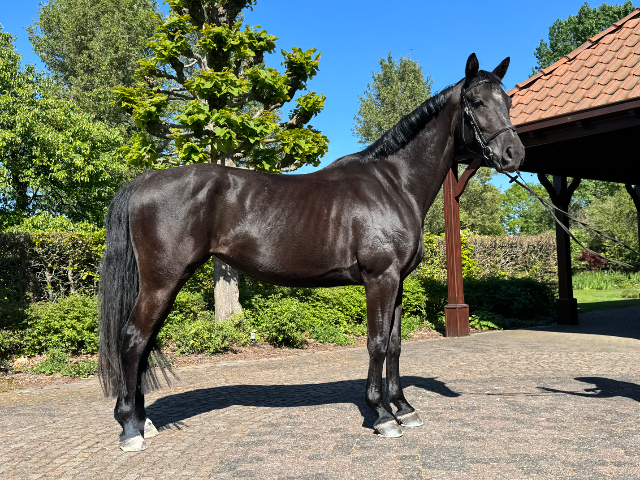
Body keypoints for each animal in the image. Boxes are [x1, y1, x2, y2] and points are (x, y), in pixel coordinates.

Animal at [98, 53, 525, 451]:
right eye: (476, 101)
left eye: (507, 100)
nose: (513, 154)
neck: (393, 184)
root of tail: (143, 182)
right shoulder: (380, 279)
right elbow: (376, 343)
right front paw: (382, 415)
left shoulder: (398, 283)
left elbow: (395, 345)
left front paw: (404, 408)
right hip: (162, 282)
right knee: (133, 340)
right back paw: (131, 429)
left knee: (143, 344)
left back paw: (143, 421)